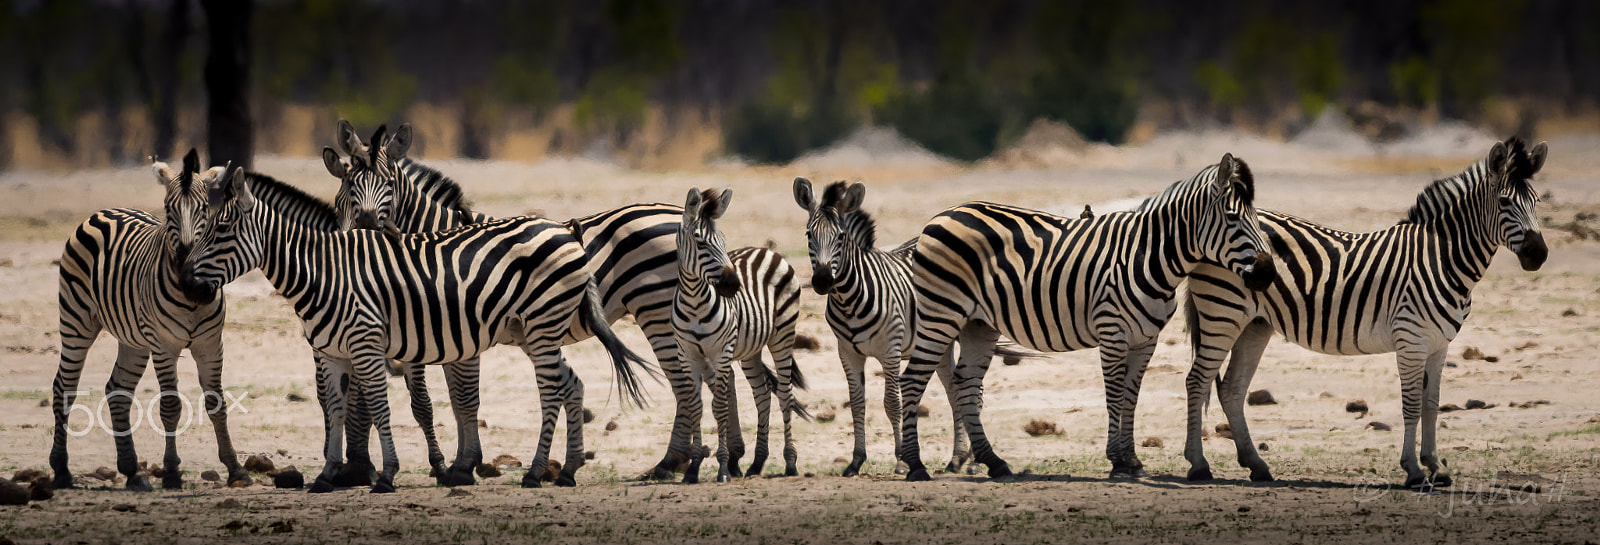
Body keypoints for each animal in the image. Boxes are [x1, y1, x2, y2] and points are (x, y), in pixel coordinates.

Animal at [48, 151, 248, 489]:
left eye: (204, 209)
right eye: (168, 209)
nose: (187, 270)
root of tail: (104, 210)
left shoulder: (210, 344)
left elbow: (217, 403)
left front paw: (235, 469)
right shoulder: (164, 346)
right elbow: (170, 407)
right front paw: (171, 472)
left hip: (134, 341)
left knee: (118, 390)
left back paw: (132, 471)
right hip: (76, 322)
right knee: (64, 387)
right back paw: (61, 470)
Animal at [185, 163, 656, 489]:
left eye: (220, 229)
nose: (189, 284)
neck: (323, 271)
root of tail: (565, 229)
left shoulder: (367, 344)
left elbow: (380, 406)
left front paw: (387, 475)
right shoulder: (331, 352)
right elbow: (335, 408)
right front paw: (328, 475)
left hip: (543, 326)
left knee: (551, 392)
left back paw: (536, 472)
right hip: (534, 329)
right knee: (570, 384)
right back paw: (568, 470)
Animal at [321, 120, 716, 482]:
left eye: (389, 183)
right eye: (348, 186)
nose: (366, 224)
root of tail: (681, 215)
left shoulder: (457, 329)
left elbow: (462, 398)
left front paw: (462, 465)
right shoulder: (449, 334)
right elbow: (456, 400)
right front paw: (461, 463)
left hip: (656, 312)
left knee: (684, 383)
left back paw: (670, 462)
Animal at [889, 154, 1273, 479]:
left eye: (1258, 219)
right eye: (1234, 218)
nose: (1267, 274)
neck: (1149, 258)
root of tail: (941, 214)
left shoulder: (1146, 340)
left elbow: (1131, 396)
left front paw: (1133, 461)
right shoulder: (1112, 332)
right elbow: (1114, 395)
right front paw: (1117, 462)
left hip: (977, 325)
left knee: (966, 385)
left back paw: (995, 463)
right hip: (941, 314)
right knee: (911, 381)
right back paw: (915, 465)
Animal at [1184, 138, 1542, 485]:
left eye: (1537, 202)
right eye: (1505, 203)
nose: (1538, 253)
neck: (1440, 258)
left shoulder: (1439, 345)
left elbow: (1431, 405)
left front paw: (1435, 466)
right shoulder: (1411, 340)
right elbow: (1411, 405)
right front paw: (1414, 470)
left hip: (1254, 324)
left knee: (1231, 389)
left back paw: (1256, 465)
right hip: (1223, 313)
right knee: (1197, 380)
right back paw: (1199, 465)